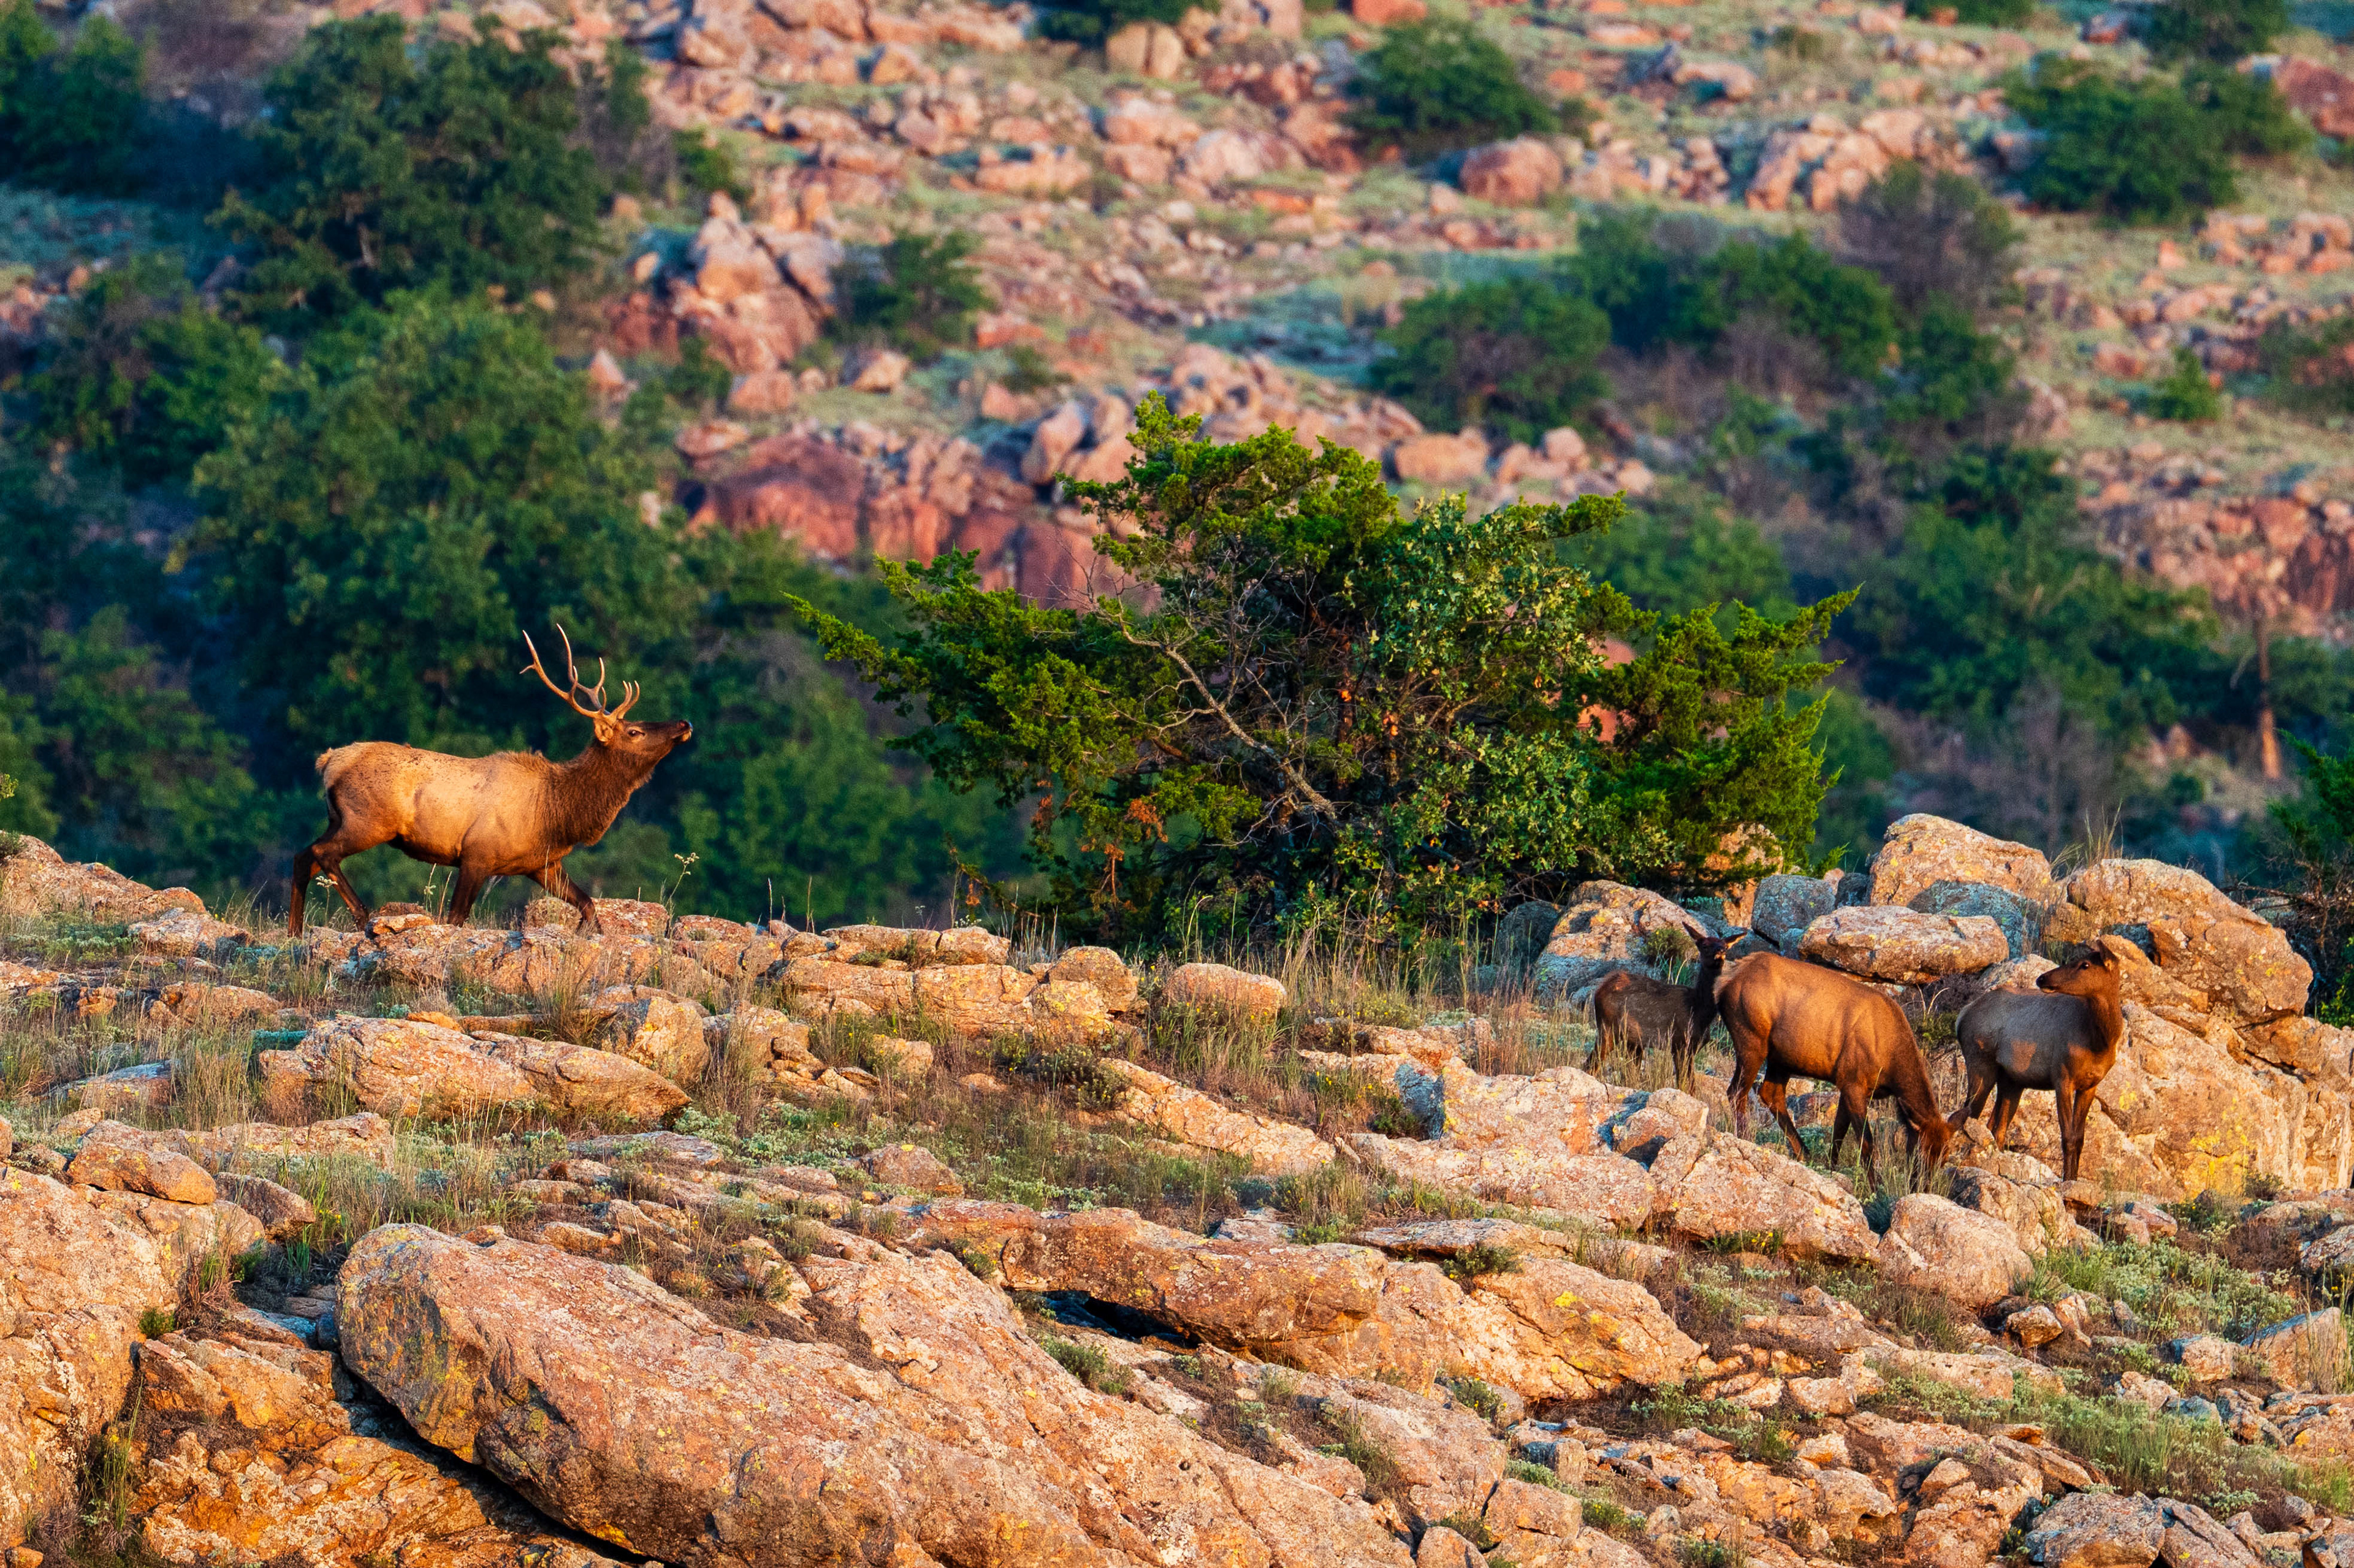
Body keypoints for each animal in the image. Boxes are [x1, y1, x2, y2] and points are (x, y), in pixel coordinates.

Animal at [288, 627, 692, 937]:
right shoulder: (477, 854)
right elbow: (456, 918)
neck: (556, 813)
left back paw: (295, 932)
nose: (685, 723)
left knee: (303, 856)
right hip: (369, 821)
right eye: (635, 731)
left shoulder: (542, 864)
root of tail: (329, 762)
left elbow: (588, 903)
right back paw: (363, 917)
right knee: (322, 853)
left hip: (339, 819)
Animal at [1587, 931, 1737, 1092]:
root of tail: (1599, 990)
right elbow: (1684, 1084)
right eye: (1705, 946)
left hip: (1632, 1042)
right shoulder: (1679, 1044)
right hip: (1608, 1029)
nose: (1721, 951)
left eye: (1726, 946)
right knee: (1591, 1064)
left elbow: (1690, 1085)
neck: (1699, 1012)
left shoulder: (1691, 1048)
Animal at [1716, 951, 1952, 1179]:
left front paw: (1832, 1166)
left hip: (1781, 1058)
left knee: (1770, 1093)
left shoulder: (1849, 1083)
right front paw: (1873, 1184)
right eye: (1920, 1152)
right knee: (1736, 1091)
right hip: (1751, 1038)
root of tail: (1725, 981)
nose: (1922, 1185)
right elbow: (1866, 1141)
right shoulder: (1853, 1080)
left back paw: (1804, 1152)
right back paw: (1746, 1137)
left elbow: (1839, 1130)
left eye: (1945, 1157)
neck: (1891, 1067)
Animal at [1951, 945, 2127, 1182]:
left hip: (2011, 1081)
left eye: (2085, 964)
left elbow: (2080, 1138)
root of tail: (1962, 1015)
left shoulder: (2090, 1085)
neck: (2100, 1043)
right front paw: (2067, 1180)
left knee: (1995, 1128)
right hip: (1980, 1065)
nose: (2042, 978)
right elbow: (2068, 1137)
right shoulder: (2063, 1078)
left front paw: (2073, 1178)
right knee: (1969, 1116)